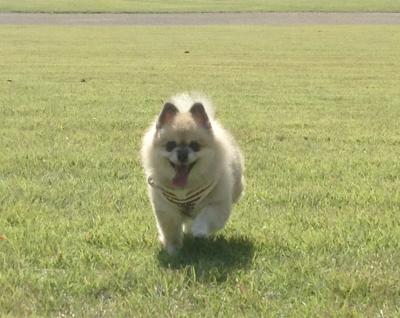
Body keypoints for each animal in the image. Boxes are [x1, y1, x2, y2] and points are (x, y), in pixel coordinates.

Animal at [142, 93, 245, 255]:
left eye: (195, 146)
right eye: (170, 145)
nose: (182, 154)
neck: (185, 189)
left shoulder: (218, 204)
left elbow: (206, 216)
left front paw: (198, 231)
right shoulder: (166, 210)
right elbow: (171, 231)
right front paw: (173, 250)